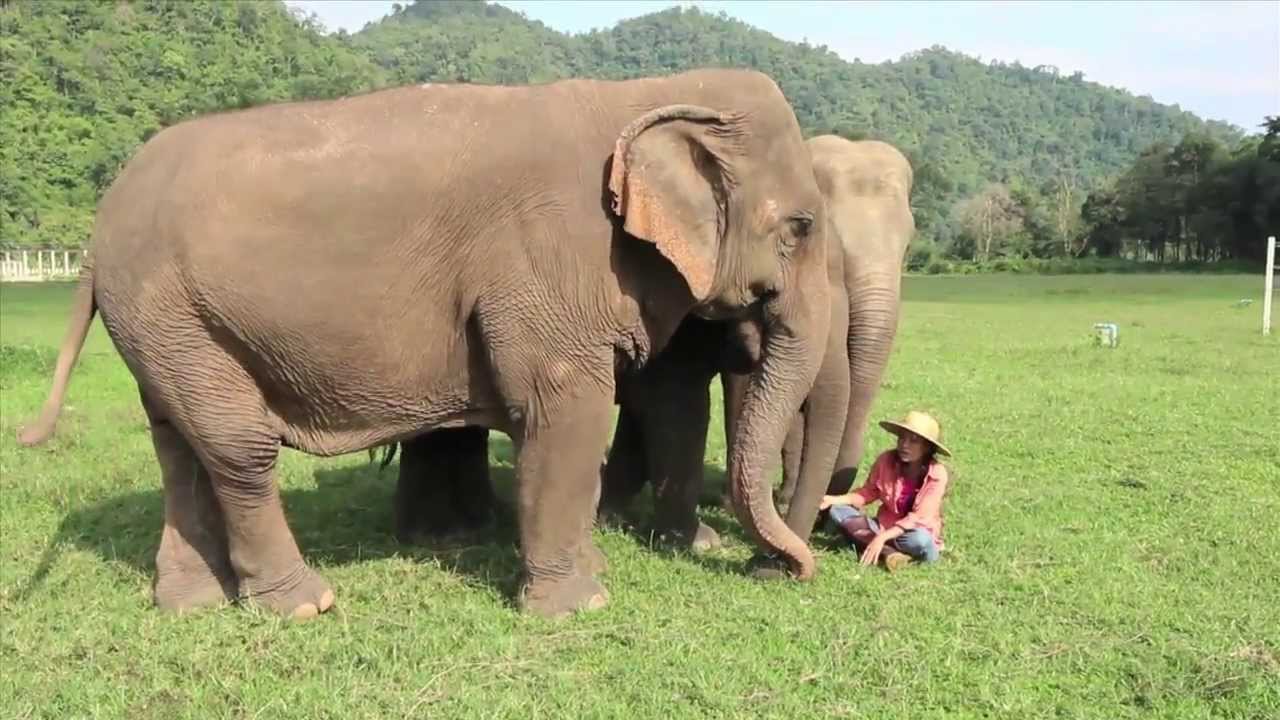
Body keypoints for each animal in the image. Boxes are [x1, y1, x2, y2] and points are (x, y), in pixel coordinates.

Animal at [17, 68, 834, 621]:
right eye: (799, 227)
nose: (788, 572)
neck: (637, 95)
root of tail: (93, 238)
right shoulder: (544, 258)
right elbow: (564, 408)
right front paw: (580, 605)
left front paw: (590, 572)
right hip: (168, 311)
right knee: (236, 446)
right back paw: (304, 604)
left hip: (166, 329)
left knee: (179, 443)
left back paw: (191, 604)